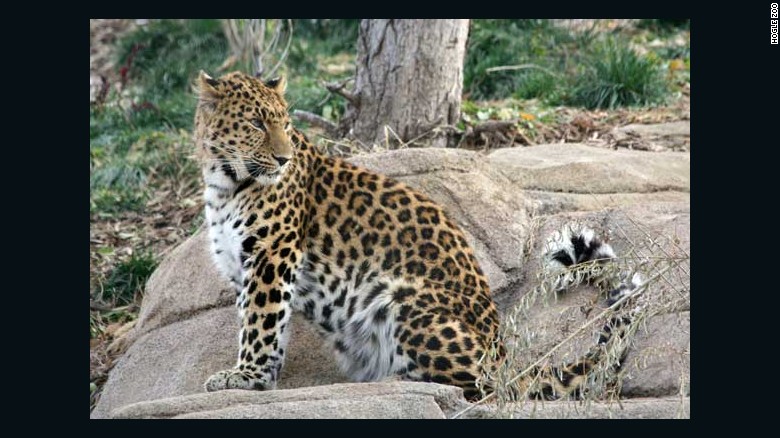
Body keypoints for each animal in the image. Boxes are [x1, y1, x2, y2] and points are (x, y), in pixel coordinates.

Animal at [192, 71, 636, 400]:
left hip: (401, 298)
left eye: (284, 124)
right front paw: (262, 376)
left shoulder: (272, 252)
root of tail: (501, 350)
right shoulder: (244, 264)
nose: (283, 159)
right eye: (255, 123)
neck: (224, 181)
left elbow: (261, 319)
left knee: (489, 385)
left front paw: (245, 376)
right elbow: (263, 319)